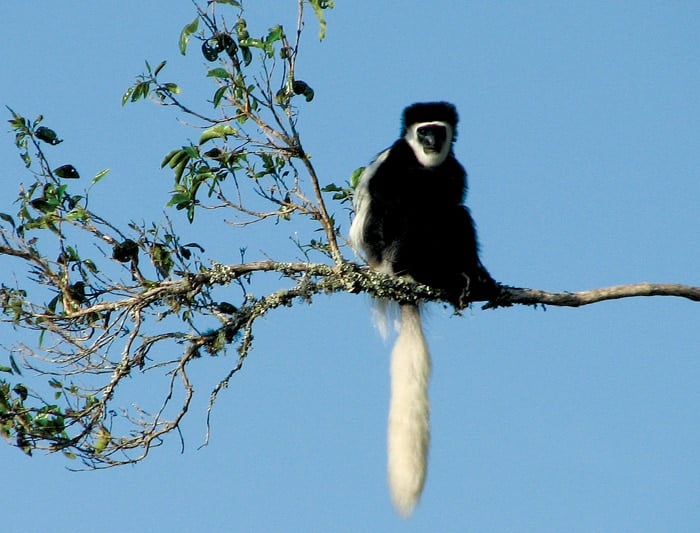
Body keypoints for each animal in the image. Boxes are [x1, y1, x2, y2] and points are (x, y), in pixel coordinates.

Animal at [349, 101, 497, 517]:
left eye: (438, 129)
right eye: (422, 131)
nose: (431, 141)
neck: (425, 162)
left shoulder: (455, 168)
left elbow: (456, 203)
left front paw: (479, 274)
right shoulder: (397, 162)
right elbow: (391, 206)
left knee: (455, 212)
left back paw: (467, 279)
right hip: (392, 252)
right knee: (413, 211)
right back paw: (422, 273)